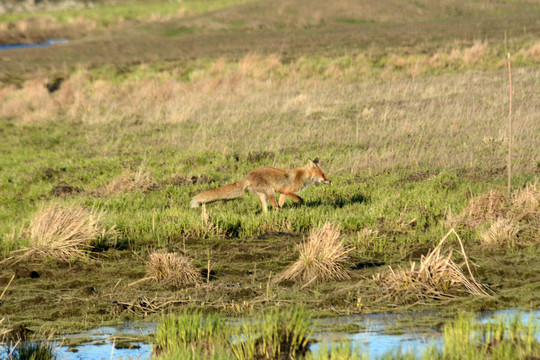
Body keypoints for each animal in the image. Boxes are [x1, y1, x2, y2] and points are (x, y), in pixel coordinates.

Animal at [192, 159, 332, 212]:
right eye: (323, 174)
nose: (330, 181)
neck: (302, 176)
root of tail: (248, 176)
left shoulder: (282, 193)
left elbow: (281, 203)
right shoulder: (287, 191)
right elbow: (300, 199)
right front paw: (294, 205)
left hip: (264, 195)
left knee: (266, 210)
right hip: (270, 191)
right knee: (273, 206)